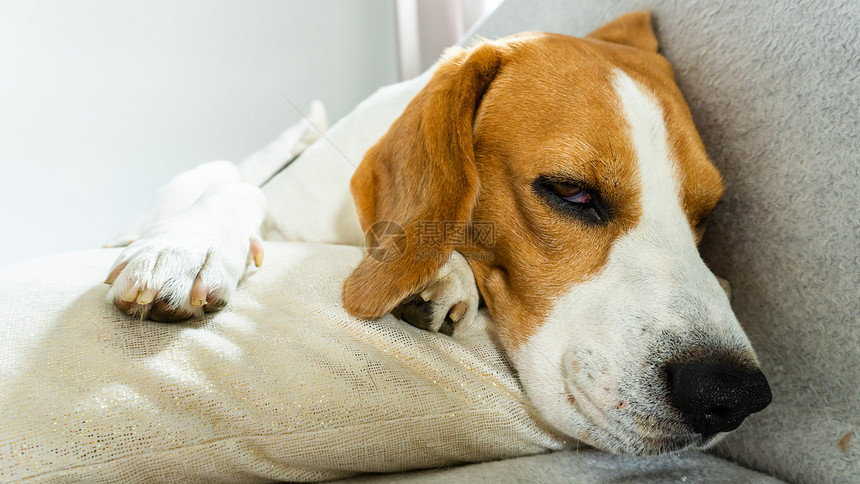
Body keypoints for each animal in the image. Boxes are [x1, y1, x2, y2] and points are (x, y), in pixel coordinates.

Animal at [102, 12, 772, 458]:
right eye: (571, 191)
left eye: (706, 213)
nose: (734, 394)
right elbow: (237, 188)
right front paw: (187, 246)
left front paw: (443, 272)